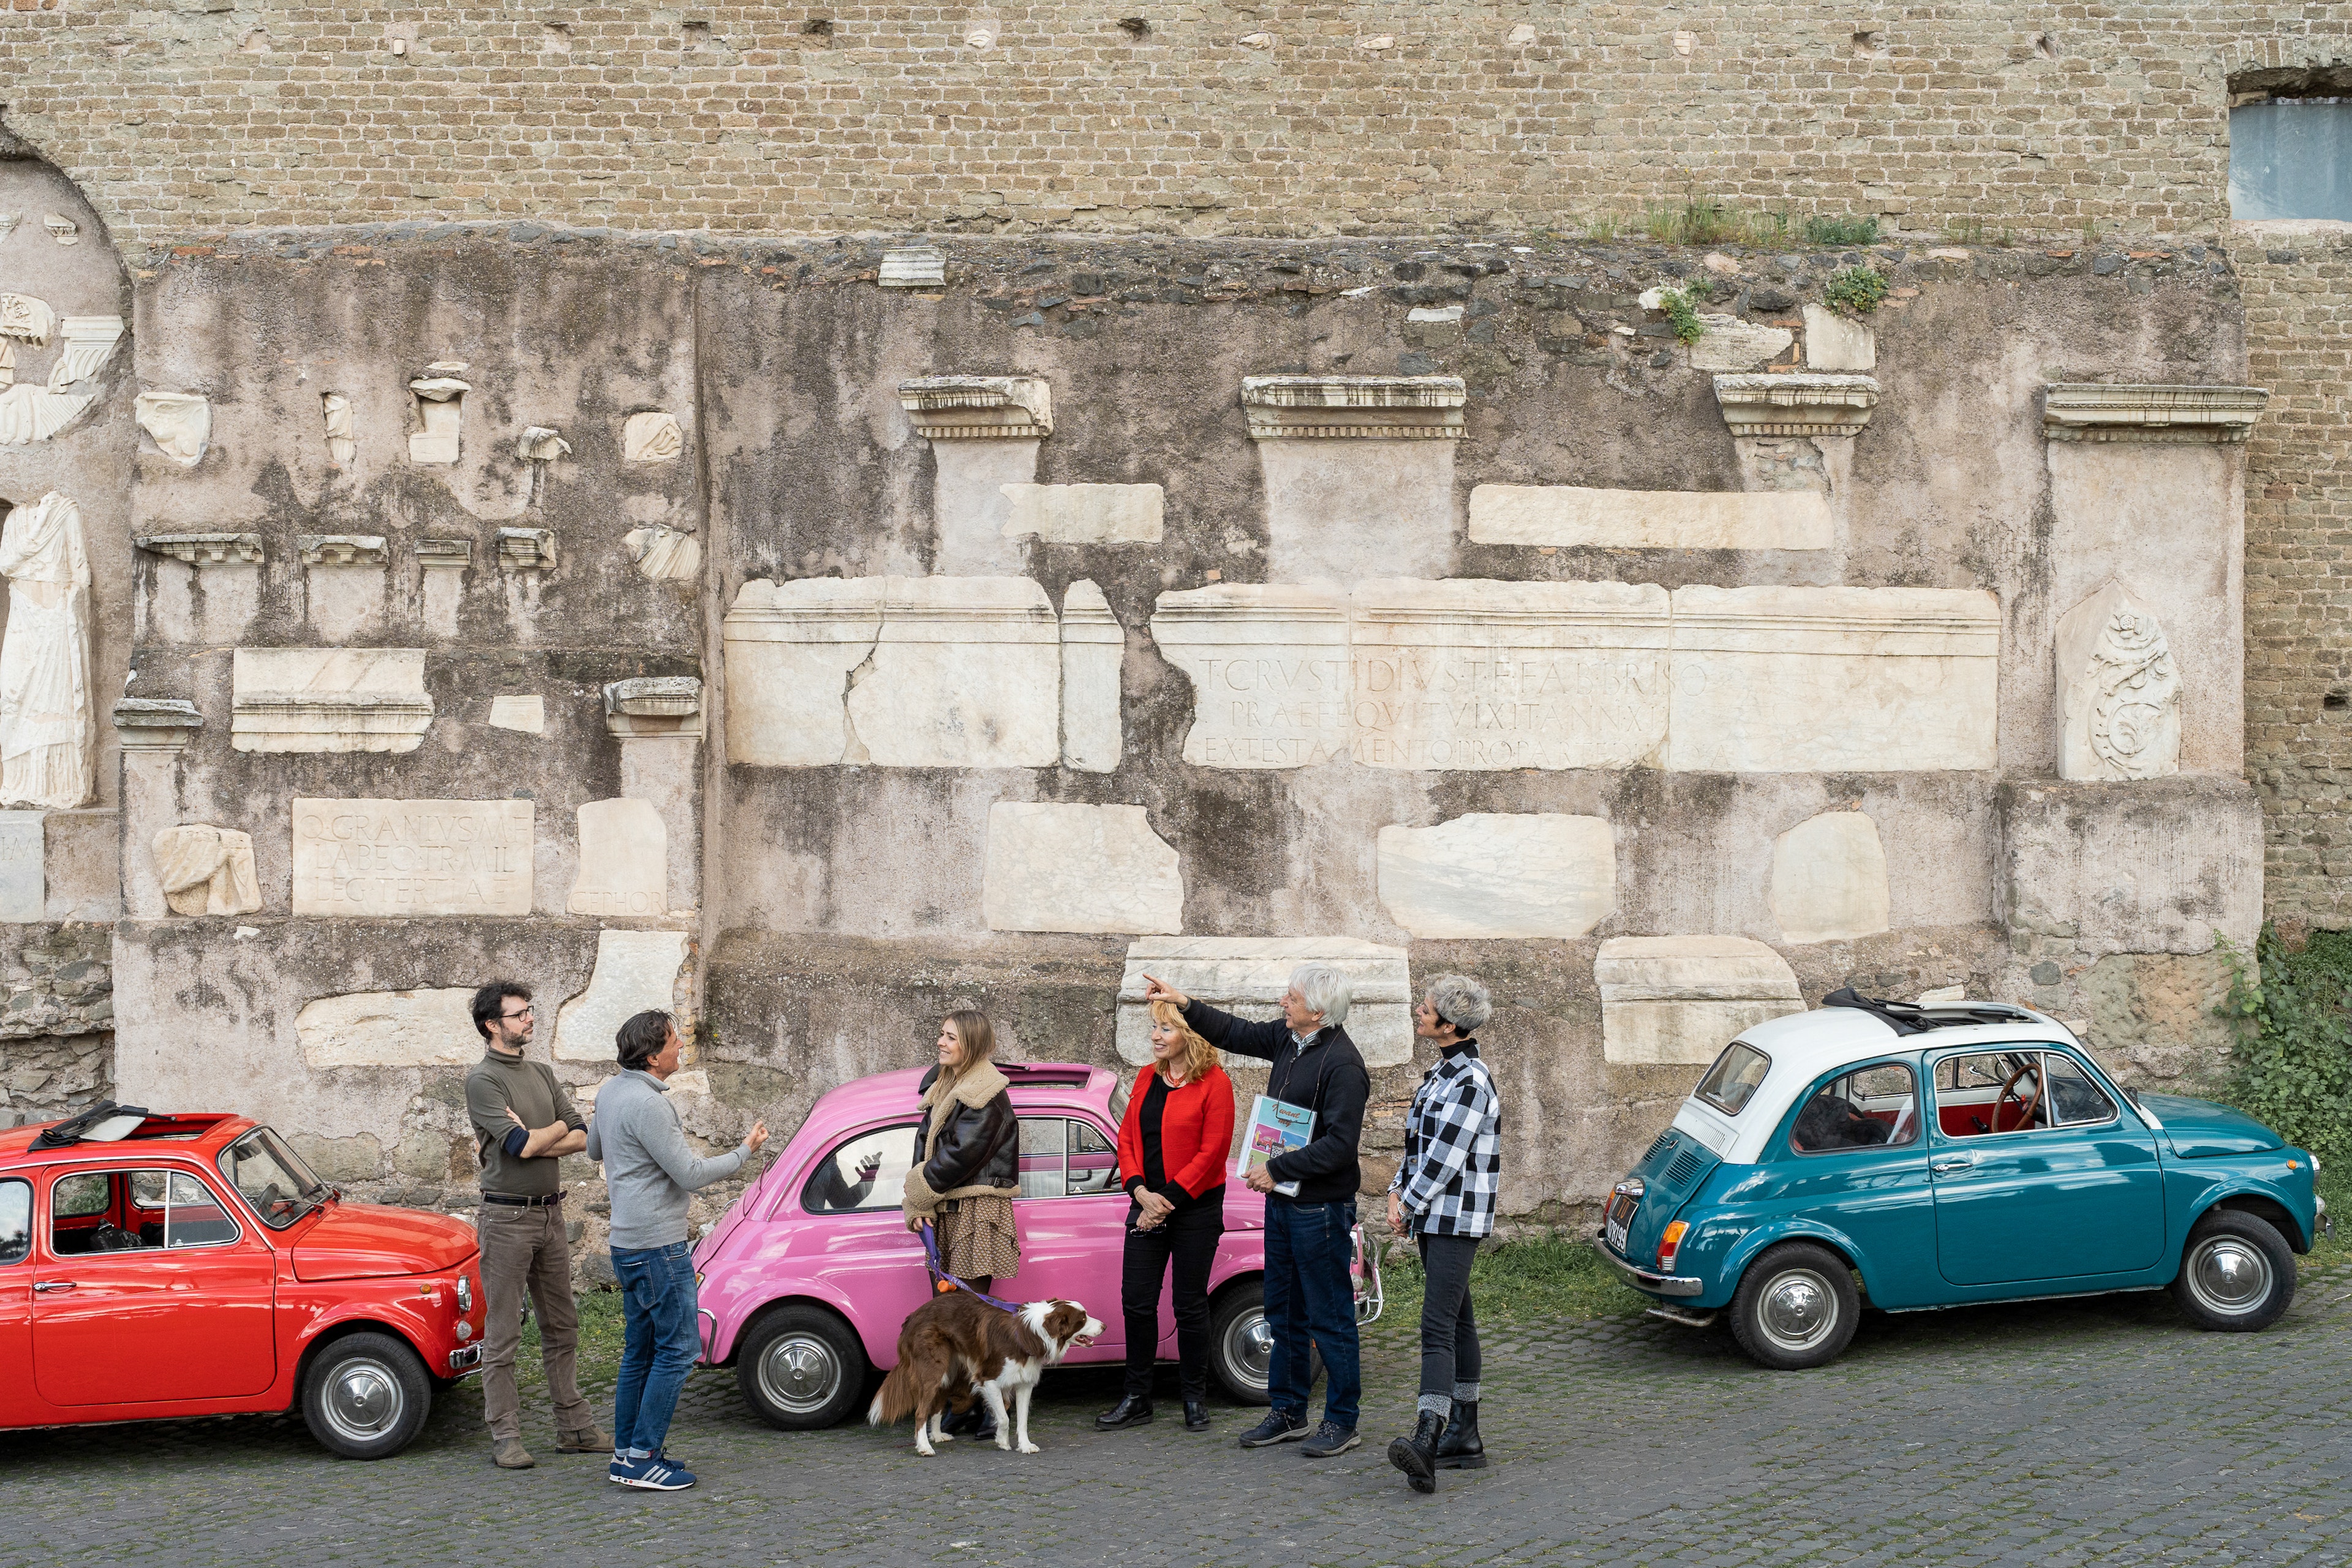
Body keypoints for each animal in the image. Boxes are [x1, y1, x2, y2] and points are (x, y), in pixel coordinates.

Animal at [870, 1288, 1105, 1457]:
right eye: (1082, 1319)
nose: (1104, 1326)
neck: (1028, 1333)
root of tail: (912, 1317)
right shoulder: (988, 1380)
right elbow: (1004, 1417)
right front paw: (1002, 1441)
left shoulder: (1024, 1383)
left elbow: (1022, 1420)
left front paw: (1025, 1445)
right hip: (933, 1370)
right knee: (920, 1412)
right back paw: (925, 1447)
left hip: (949, 1370)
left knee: (936, 1406)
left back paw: (937, 1436)